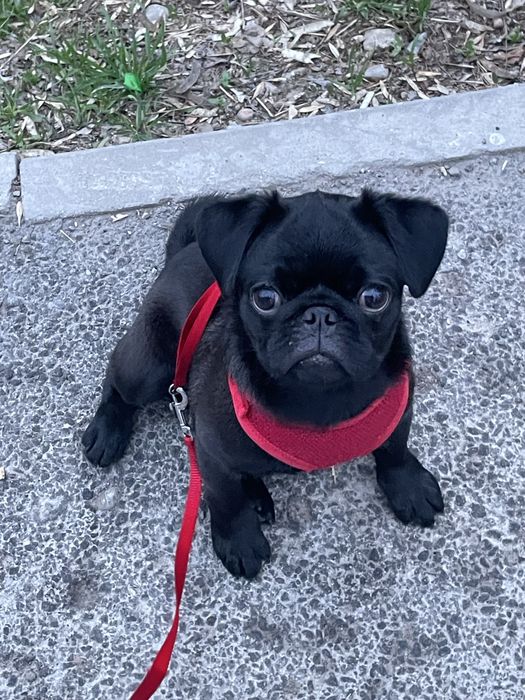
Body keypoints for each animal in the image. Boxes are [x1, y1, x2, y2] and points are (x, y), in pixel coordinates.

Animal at [82, 189, 449, 579]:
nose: (320, 314)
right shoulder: (209, 448)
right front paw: (239, 539)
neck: (319, 397)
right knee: (117, 379)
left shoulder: (400, 409)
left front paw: (409, 486)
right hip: (147, 369)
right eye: (265, 298)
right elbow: (224, 497)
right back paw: (107, 431)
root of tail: (184, 251)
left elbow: (395, 448)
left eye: (375, 298)